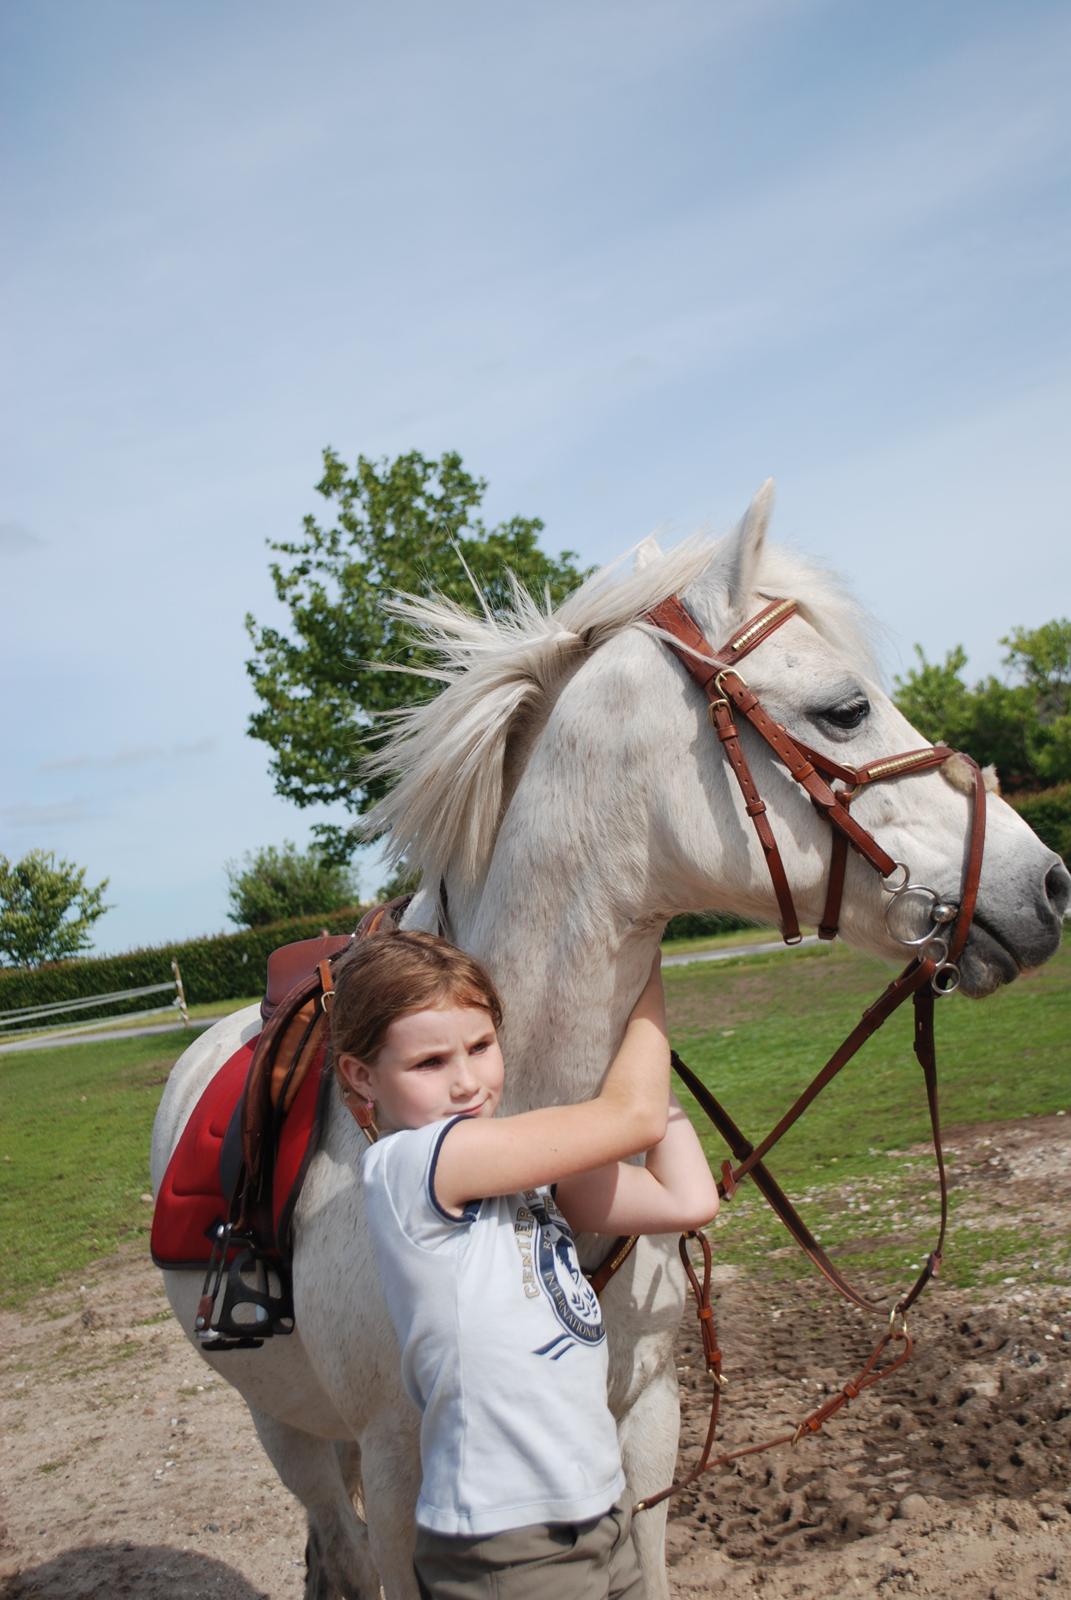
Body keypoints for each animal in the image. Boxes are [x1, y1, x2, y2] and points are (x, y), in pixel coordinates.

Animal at [151, 484, 1069, 1599]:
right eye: (845, 708)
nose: (1047, 883)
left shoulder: (641, 1417)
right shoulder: (398, 1460)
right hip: (285, 1428)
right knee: (338, 1540)